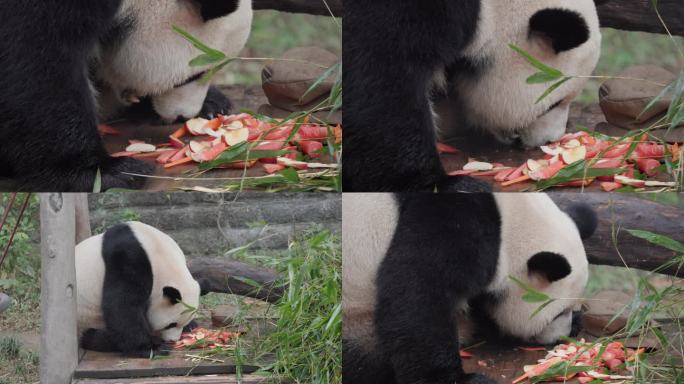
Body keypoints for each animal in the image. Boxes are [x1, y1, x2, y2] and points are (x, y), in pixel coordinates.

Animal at [77, 222, 202, 356]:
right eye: (171, 324)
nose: (173, 340)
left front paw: (190, 325)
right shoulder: (127, 258)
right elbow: (123, 304)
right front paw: (150, 348)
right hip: (89, 319)